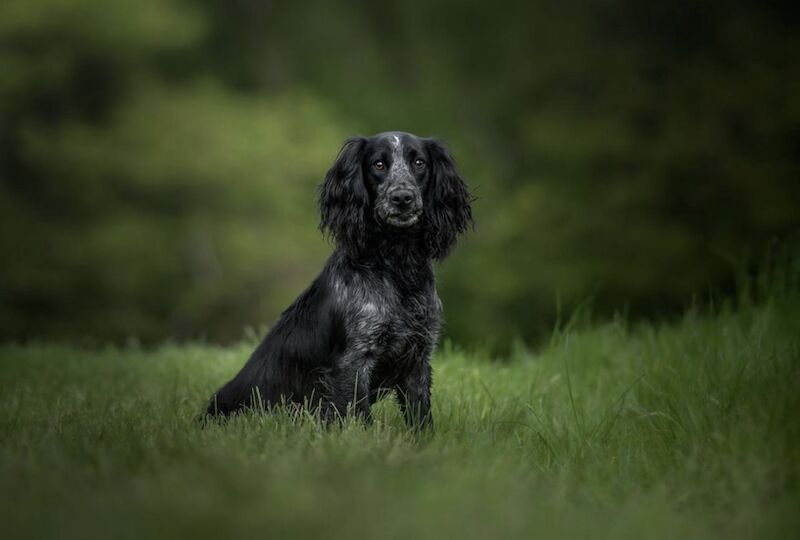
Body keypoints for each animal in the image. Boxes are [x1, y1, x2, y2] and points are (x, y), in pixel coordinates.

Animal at [203, 131, 472, 426]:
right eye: (378, 164)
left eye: (419, 162)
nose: (402, 197)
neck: (397, 266)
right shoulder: (354, 361)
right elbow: (359, 417)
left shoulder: (418, 357)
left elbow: (421, 418)